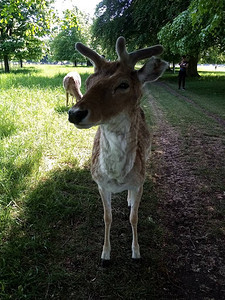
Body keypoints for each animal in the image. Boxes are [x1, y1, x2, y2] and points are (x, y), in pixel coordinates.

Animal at [67, 36, 166, 264]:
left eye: (123, 84)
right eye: (88, 82)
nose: (75, 113)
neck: (117, 177)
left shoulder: (140, 181)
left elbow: (134, 217)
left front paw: (136, 252)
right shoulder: (100, 183)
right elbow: (107, 217)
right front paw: (105, 255)